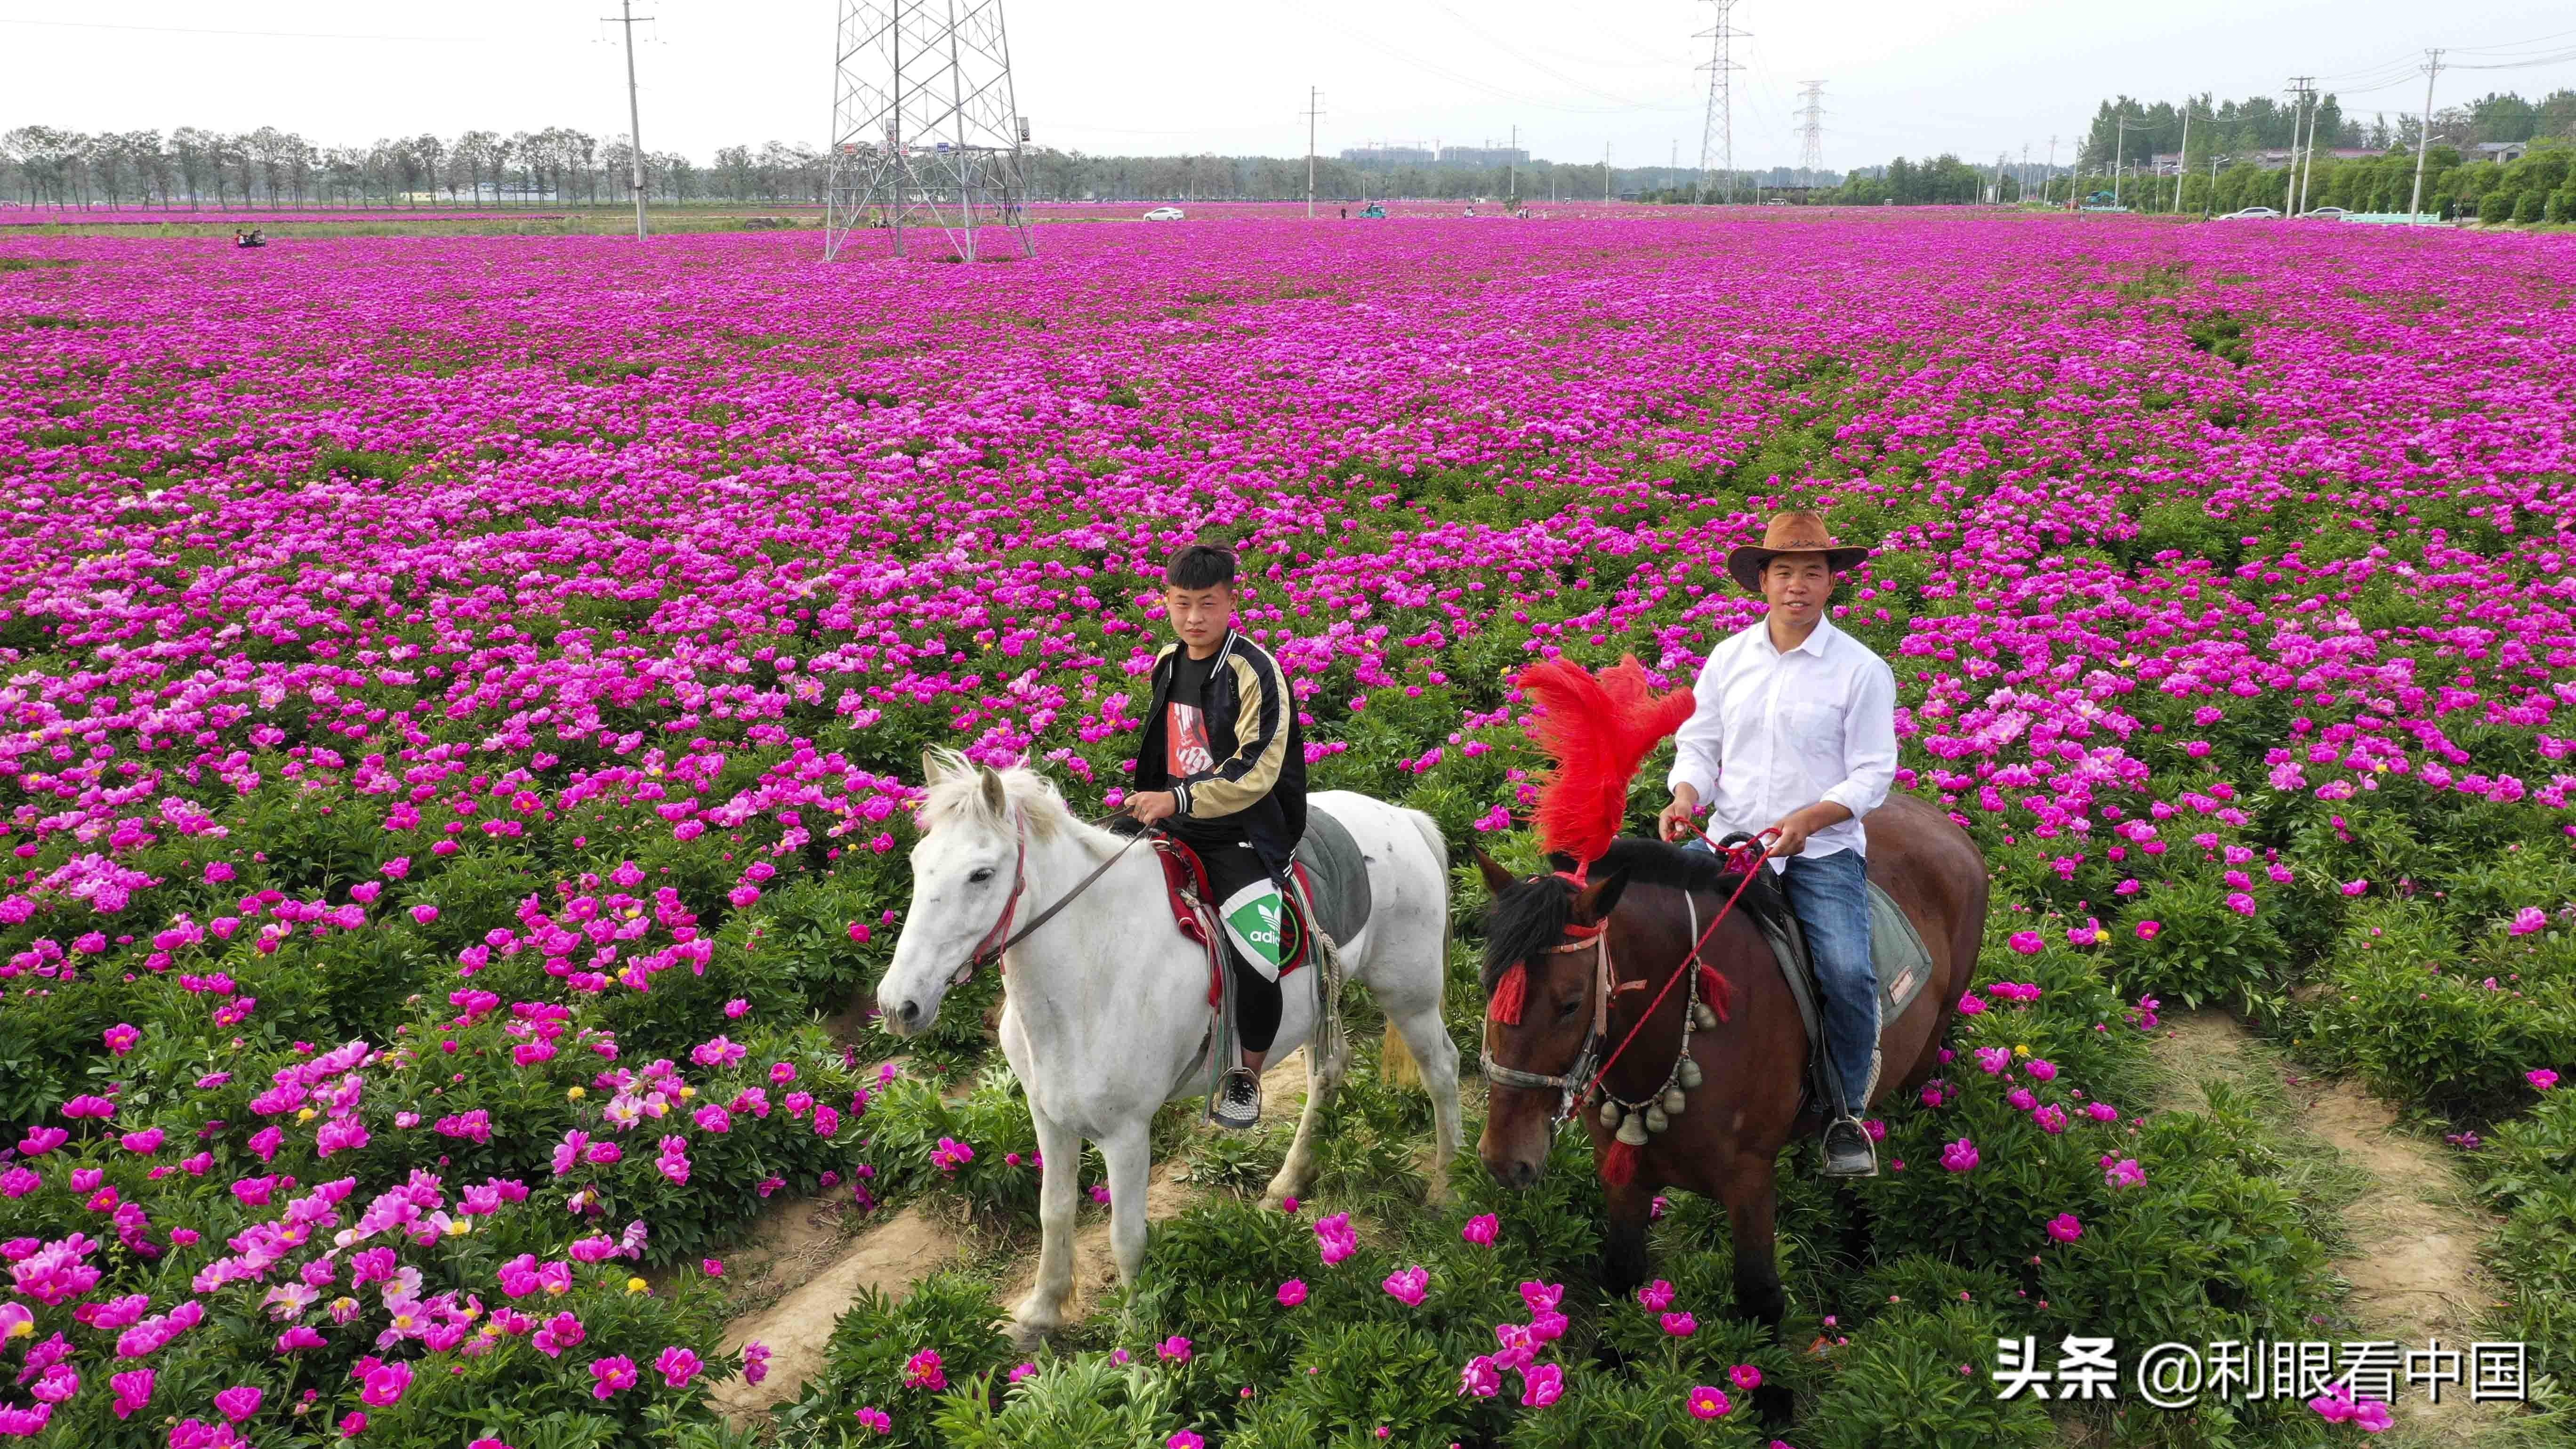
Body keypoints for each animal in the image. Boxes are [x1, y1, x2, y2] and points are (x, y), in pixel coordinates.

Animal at [881, 748, 1463, 1340]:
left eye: (981, 874)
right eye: (916, 864)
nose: (898, 1005)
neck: (1093, 964)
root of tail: (1401, 817)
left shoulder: (1127, 1134)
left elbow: (1126, 1236)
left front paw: (1137, 1334)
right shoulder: (1049, 1117)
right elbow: (1055, 1211)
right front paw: (1041, 1311)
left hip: (1409, 995)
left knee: (1442, 1071)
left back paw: (1447, 1189)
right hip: (1319, 1008)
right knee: (1329, 1069)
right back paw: (1291, 1182)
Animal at [1473, 789, 1988, 1413]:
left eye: (1571, 1003)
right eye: (1487, 983)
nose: (1503, 1159)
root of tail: (1944, 822)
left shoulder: (1748, 1179)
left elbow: (1759, 1293)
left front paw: (1770, 1400)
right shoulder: (1621, 1165)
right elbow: (1623, 1269)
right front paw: (1612, 1366)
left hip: (1922, 1056)